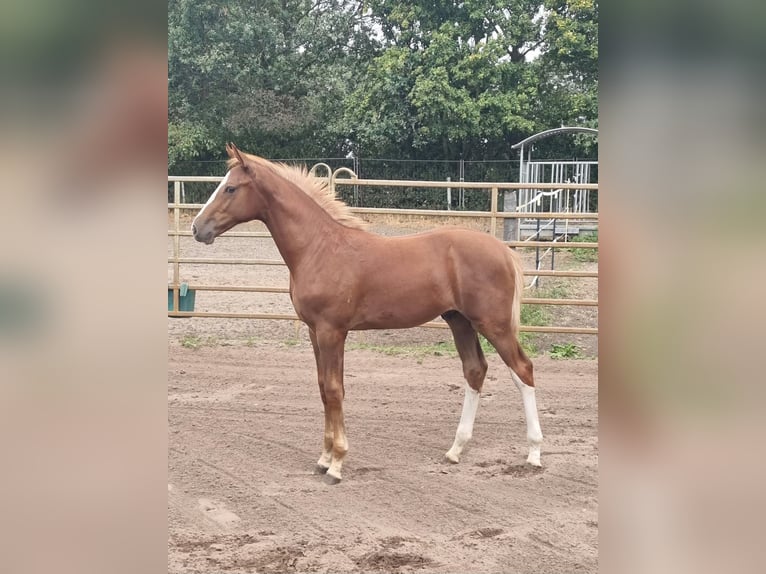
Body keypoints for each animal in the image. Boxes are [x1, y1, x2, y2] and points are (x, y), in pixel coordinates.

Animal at [191, 143, 543, 484]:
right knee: (475, 370)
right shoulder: (315, 332)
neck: (319, 248)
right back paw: (455, 450)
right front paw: (323, 458)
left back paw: (534, 454)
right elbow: (324, 388)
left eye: (231, 188)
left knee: (523, 370)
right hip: (460, 321)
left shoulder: (332, 331)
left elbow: (334, 390)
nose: (197, 228)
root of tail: (503, 251)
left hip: (494, 324)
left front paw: (336, 464)